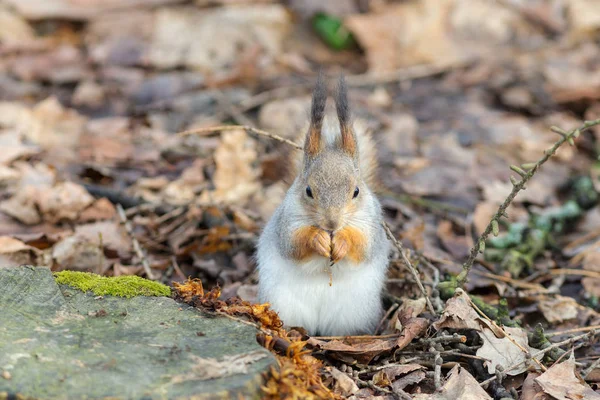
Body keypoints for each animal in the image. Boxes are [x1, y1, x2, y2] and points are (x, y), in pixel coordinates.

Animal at [255, 73, 392, 336]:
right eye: (308, 191)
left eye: (356, 192)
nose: (332, 222)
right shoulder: (287, 222)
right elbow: (293, 244)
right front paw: (316, 238)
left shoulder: (371, 224)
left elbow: (363, 246)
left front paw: (342, 241)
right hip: (283, 304)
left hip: (352, 313)